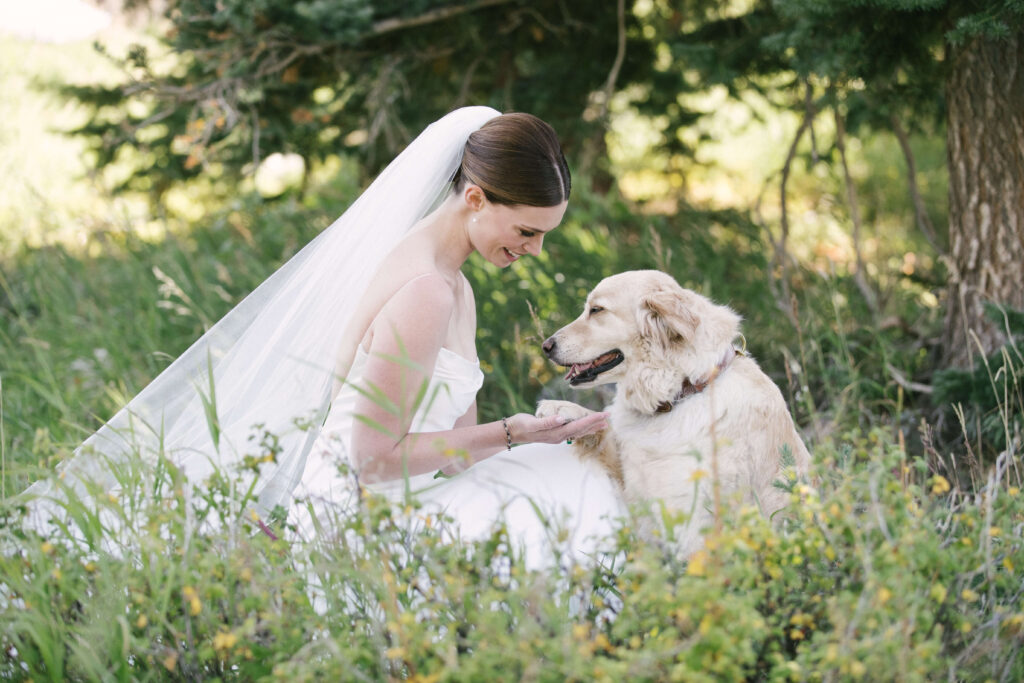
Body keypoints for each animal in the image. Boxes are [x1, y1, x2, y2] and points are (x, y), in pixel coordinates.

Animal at [540, 270, 811, 557]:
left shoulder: (688, 521)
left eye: (597, 310)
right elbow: (602, 429)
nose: (545, 346)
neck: (681, 393)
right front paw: (562, 409)